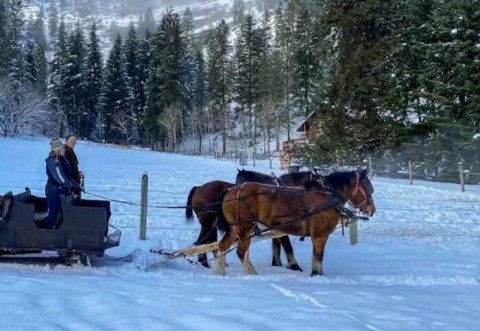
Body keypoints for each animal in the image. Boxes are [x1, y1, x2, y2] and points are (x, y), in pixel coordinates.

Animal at [216, 170, 376, 276]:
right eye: (369, 189)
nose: (371, 210)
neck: (327, 196)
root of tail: (231, 191)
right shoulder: (320, 235)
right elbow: (317, 258)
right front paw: (315, 274)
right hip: (245, 227)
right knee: (241, 251)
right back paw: (251, 274)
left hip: (235, 228)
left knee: (223, 246)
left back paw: (220, 272)